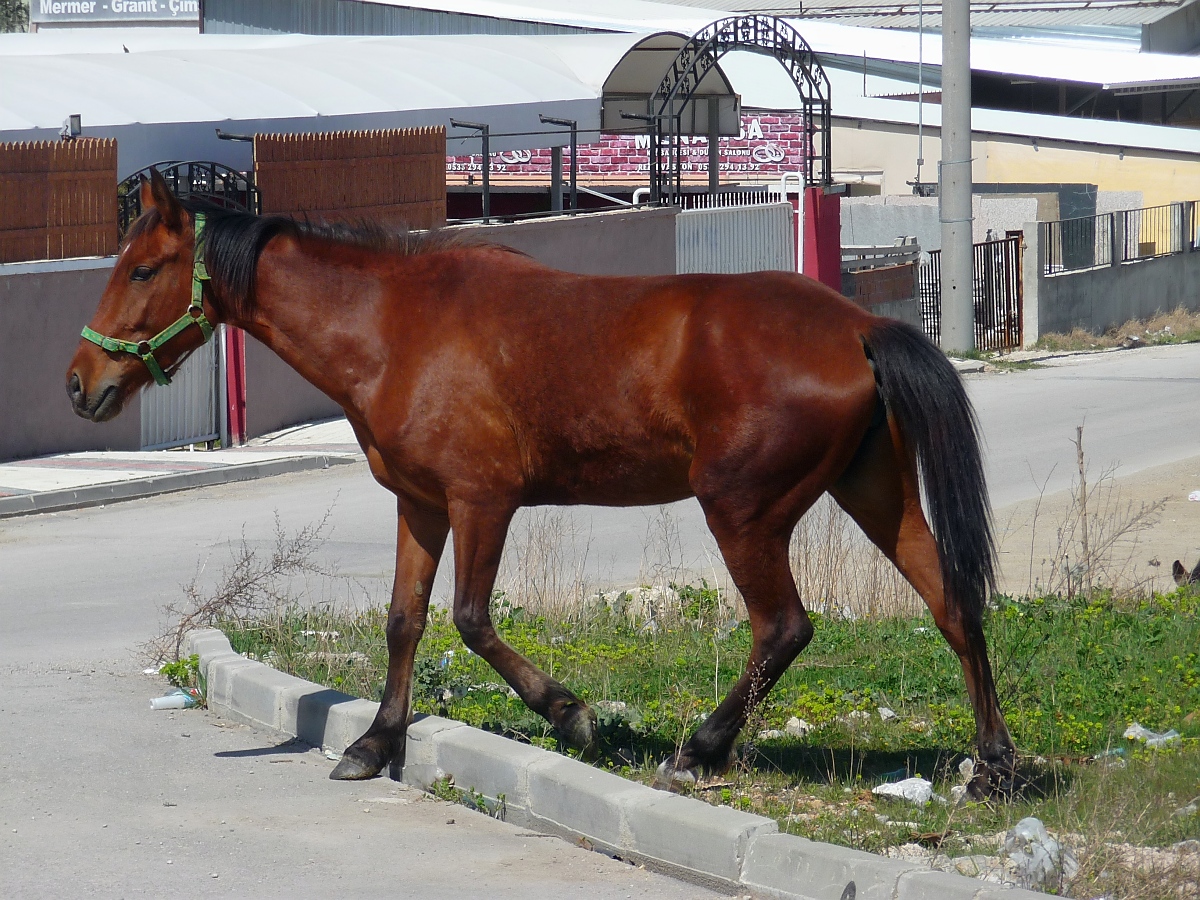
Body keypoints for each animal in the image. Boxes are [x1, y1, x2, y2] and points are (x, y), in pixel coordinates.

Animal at [72, 174, 1012, 796]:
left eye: (143, 270)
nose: (81, 384)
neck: (396, 327)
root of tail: (858, 326)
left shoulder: (480, 502)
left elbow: (470, 619)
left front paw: (568, 713)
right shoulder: (422, 505)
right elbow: (404, 622)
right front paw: (376, 743)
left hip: (743, 512)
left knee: (783, 628)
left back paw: (699, 749)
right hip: (875, 493)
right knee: (953, 606)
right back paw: (993, 766)